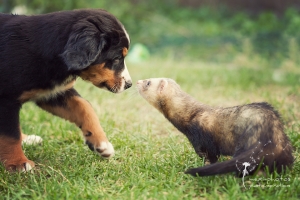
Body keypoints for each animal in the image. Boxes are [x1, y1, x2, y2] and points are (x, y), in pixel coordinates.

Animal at [0, 9, 132, 171]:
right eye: (117, 58)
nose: (129, 84)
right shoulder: (6, 99)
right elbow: (10, 135)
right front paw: (18, 163)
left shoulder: (53, 93)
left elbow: (84, 106)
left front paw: (102, 144)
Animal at [137, 78, 294, 177]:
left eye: (148, 82)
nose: (137, 81)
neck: (191, 115)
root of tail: (269, 139)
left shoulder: (202, 141)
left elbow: (211, 156)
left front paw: (205, 165)